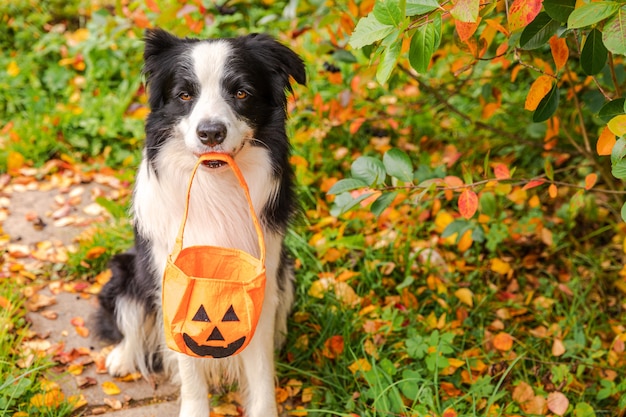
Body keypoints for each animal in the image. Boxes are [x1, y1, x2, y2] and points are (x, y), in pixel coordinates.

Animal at [94, 29, 304, 416]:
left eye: (241, 93)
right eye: (184, 95)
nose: (211, 133)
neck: (214, 188)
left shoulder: (263, 284)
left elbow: (261, 370)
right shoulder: (173, 282)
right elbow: (190, 370)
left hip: (287, 273)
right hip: (126, 270)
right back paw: (121, 357)